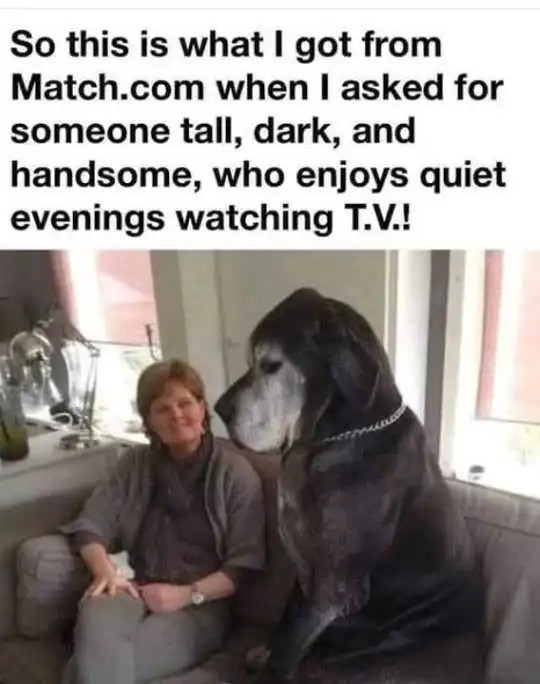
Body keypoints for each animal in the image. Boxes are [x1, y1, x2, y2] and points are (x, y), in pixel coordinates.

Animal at [215, 288, 484, 684]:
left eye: (271, 365)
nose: (218, 409)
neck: (335, 438)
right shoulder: (305, 570)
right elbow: (288, 617)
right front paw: (266, 650)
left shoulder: (333, 587)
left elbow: (291, 645)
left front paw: (275, 662)